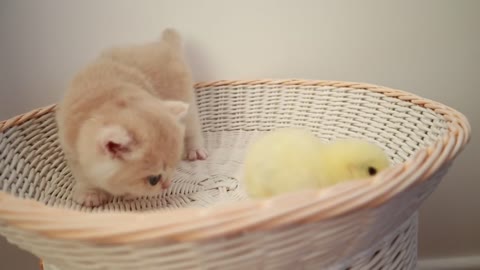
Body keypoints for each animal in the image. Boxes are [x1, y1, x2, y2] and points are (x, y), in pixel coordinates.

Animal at [55, 28, 206, 207]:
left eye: (174, 166)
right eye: (153, 180)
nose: (167, 185)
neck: (105, 100)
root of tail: (163, 44)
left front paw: (129, 194)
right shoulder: (71, 151)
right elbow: (83, 175)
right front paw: (90, 193)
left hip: (186, 98)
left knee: (192, 127)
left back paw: (195, 149)